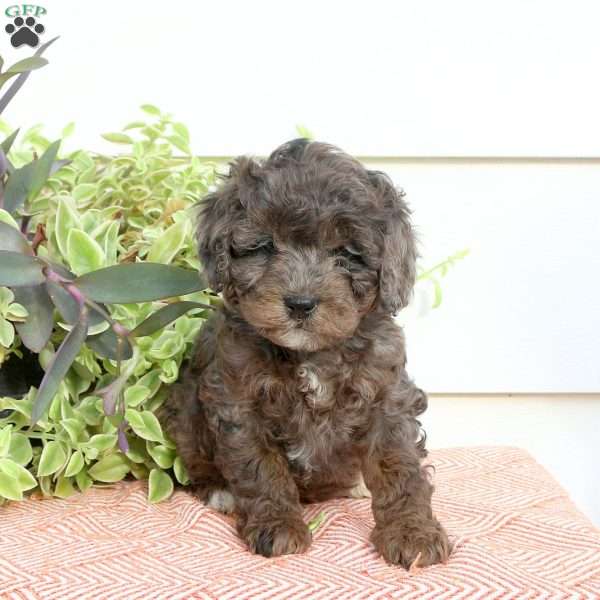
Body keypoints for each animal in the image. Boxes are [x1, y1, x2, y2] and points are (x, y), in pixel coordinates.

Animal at [164, 138, 450, 568]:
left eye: (347, 253)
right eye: (265, 247)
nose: (300, 303)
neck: (311, 355)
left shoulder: (386, 395)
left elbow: (400, 466)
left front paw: (412, 532)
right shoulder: (237, 398)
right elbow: (260, 467)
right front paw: (278, 526)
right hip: (185, 412)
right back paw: (220, 491)